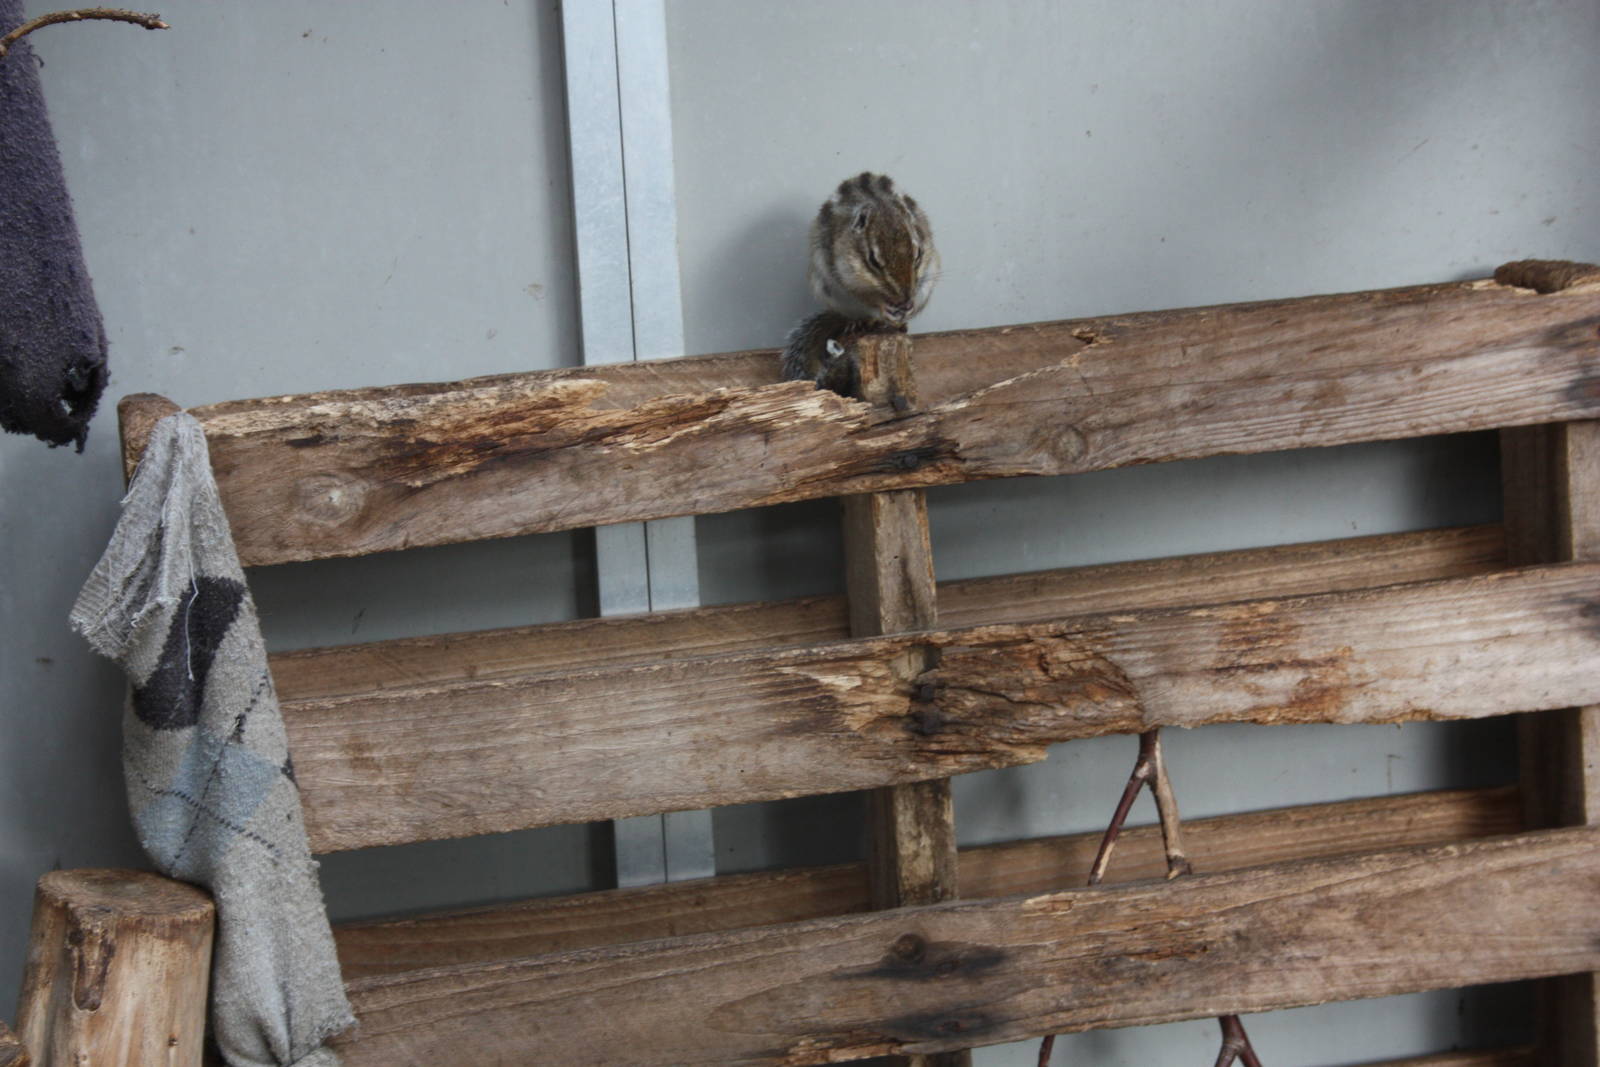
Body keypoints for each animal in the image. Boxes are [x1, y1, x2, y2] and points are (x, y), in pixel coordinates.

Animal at [781, 172, 939, 394]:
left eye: (918, 255)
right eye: (873, 260)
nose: (904, 299)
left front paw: (908, 306)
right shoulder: (845, 275)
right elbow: (863, 295)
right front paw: (883, 307)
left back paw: (896, 324)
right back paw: (862, 321)